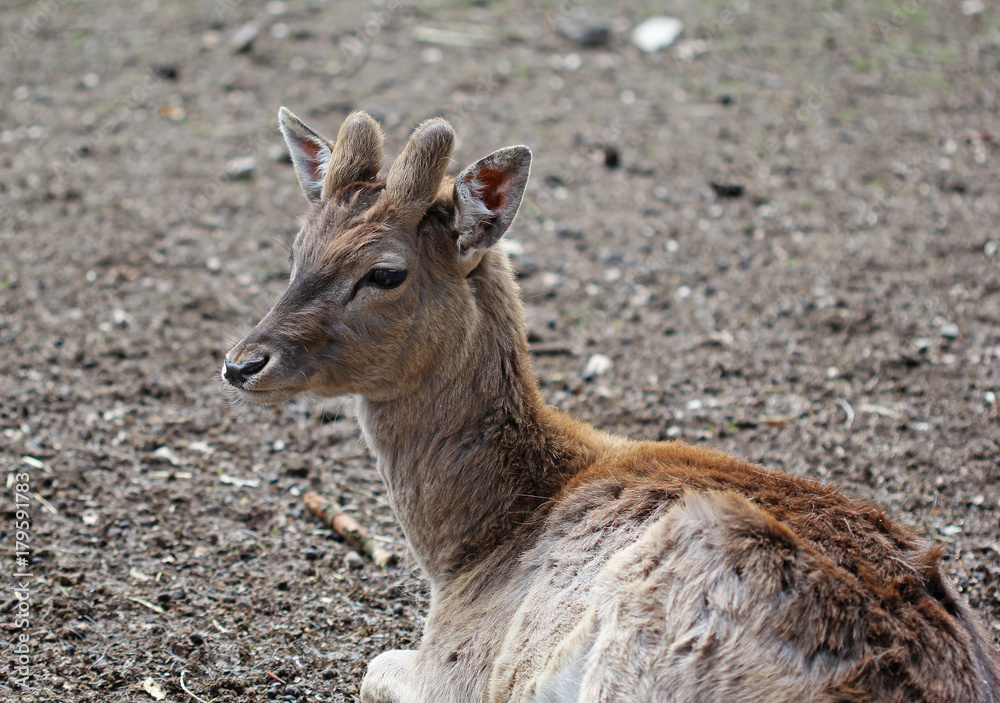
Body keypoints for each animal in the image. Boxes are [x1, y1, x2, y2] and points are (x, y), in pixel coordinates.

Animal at [223, 108, 1000, 702]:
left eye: (385, 272)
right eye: (296, 250)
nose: (241, 363)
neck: (470, 550)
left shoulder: (462, 667)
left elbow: (373, 665)